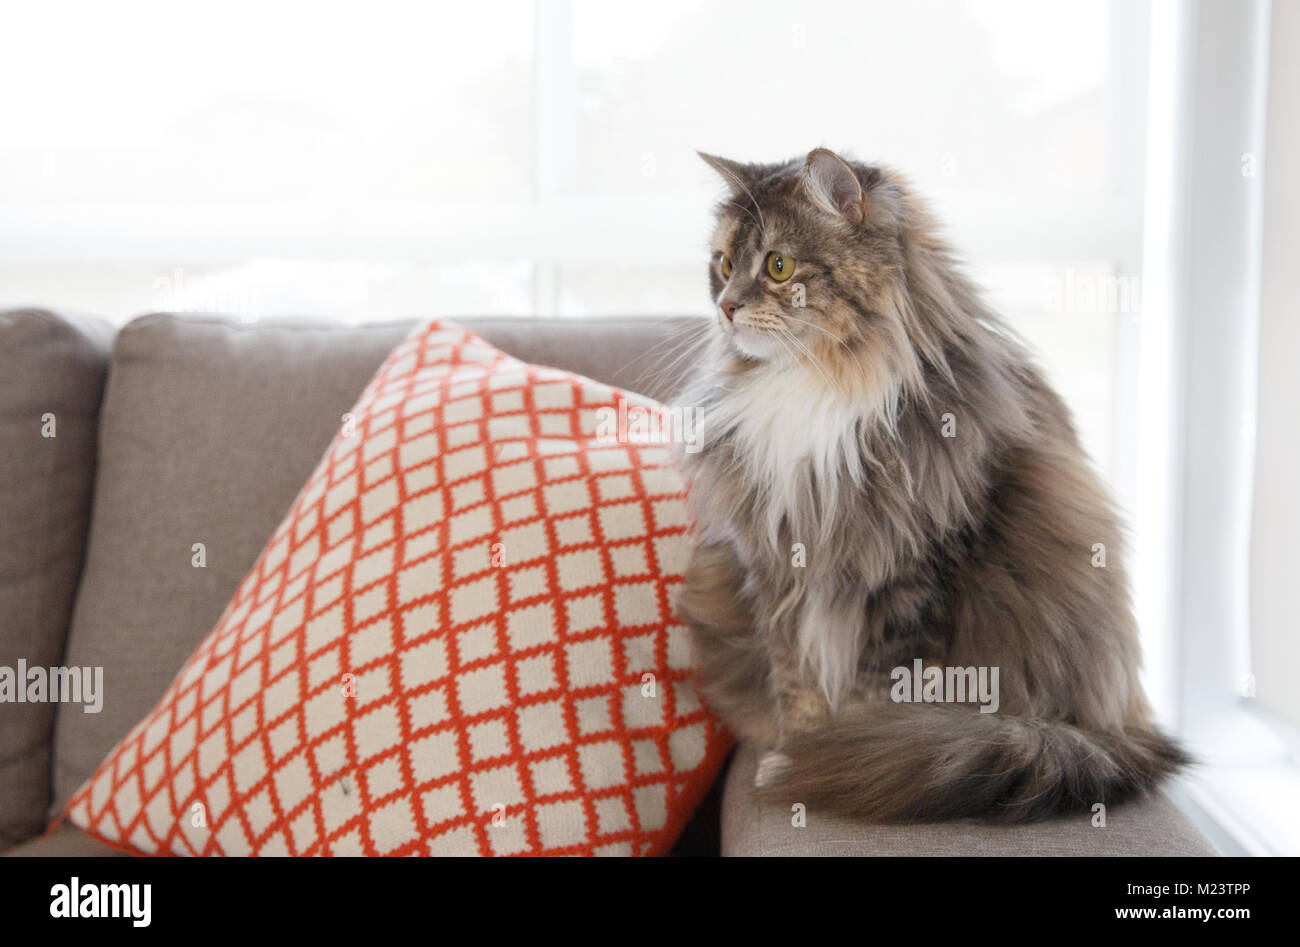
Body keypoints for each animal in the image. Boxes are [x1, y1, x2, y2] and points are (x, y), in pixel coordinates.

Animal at [676, 148, 1190, 822]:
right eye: (724, 264)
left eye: (778, 265)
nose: (727, 308)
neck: (818, 386)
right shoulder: (777, 569)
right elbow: (799, 684)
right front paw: (798, 752)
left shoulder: (910, 581)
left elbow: (876, 690)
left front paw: (842, 756)